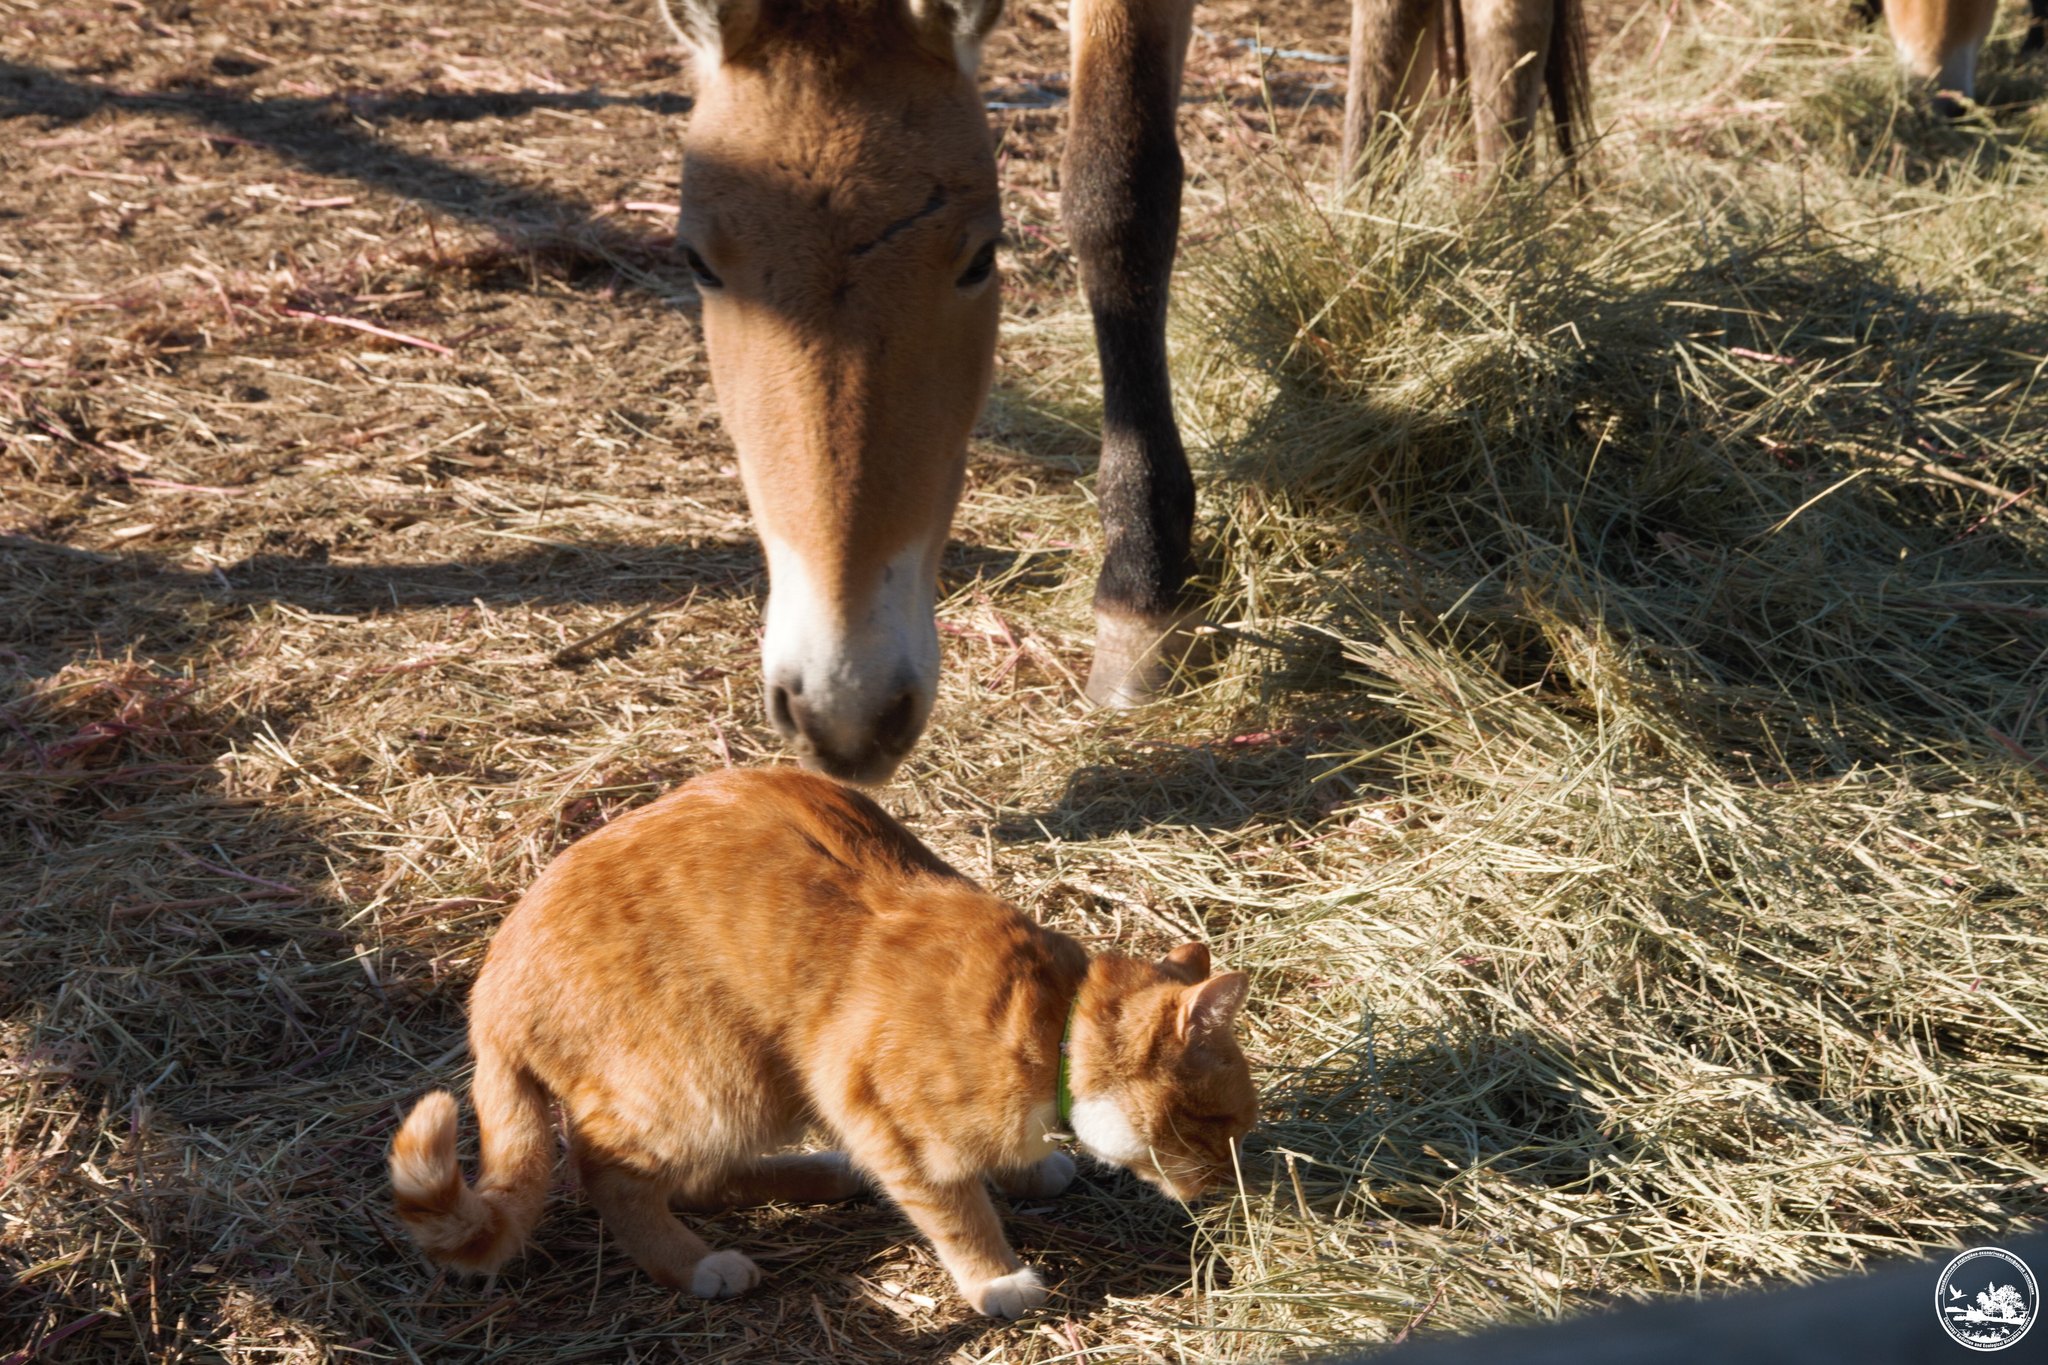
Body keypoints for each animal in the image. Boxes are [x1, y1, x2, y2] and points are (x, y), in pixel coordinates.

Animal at [376, 769, 1253, 1309]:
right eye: (1216, 1123)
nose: (1228, 1181)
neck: (1048, 1016)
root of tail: (491, 985)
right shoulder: (880, 1109)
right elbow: (955, 1210)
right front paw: (997, 1280)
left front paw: (1033, 1167)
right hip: (716, 1078)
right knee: (610, 1172)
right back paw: (698, 1264)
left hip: (749, 1092)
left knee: (697, 1179)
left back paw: (824, 1173)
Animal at [655, 0, 1581, 777]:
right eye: (696, 260)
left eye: (982, 257)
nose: (846, 707)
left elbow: (1118, 188)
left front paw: (1143, 590)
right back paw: (1366, 220)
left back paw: (1501, 218)